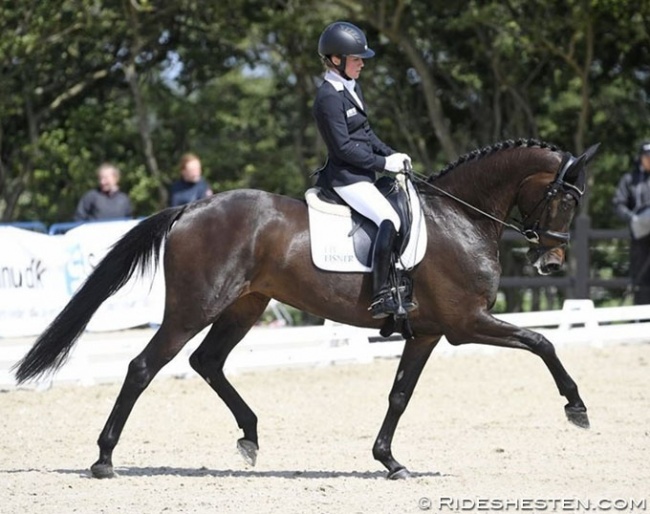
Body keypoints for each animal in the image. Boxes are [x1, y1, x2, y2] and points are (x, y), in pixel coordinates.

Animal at [12, 139, 596, 476]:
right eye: (566, 199)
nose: (550, 262)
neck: (460, 218)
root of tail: (192, 208)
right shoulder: (465, 323)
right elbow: (542, 340)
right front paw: (577, 408)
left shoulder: (429, 332)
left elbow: (400, 394)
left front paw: (389, 460)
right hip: (194, 307)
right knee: (143, 366)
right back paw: (104, 458)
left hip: (245, 306)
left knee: (207, 362)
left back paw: (249, 436)